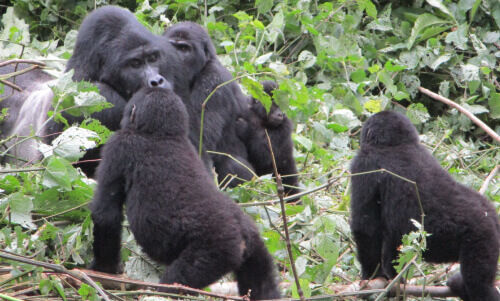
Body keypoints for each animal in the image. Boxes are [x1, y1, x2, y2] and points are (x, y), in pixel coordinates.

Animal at [89, 83, 282, 298]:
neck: (164, 134)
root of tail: (242, 233)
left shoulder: (119, 146)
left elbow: (106, 213)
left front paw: (105, 270)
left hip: (217, 250)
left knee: (175, 283)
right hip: (254, 243)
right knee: (261, 281)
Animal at [162, 22, 254, 188]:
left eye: (184, 49)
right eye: (171, 47)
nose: (175, 60)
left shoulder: (214, 81)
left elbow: (200, 139)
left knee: (232, 164)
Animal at [352, 110, 500, 300]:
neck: (395, 144)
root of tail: (491, 217)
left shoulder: (364, 163)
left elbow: (365, 227)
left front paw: (371, 276)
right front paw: (393, 281)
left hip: (480, 238)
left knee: (479, 285)